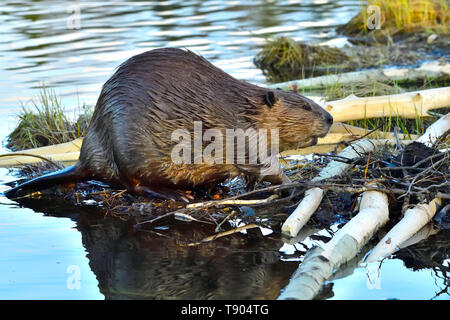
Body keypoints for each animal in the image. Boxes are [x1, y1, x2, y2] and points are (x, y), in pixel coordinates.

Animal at [5, 47, 332, 201]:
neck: (244, 108)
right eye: (306, 105)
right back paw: (176, 193)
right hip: (123, 146)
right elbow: (265, 166)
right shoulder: (243, 136)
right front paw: (295, 182)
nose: (329, 118)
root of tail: (85, 159)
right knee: (133, 185)